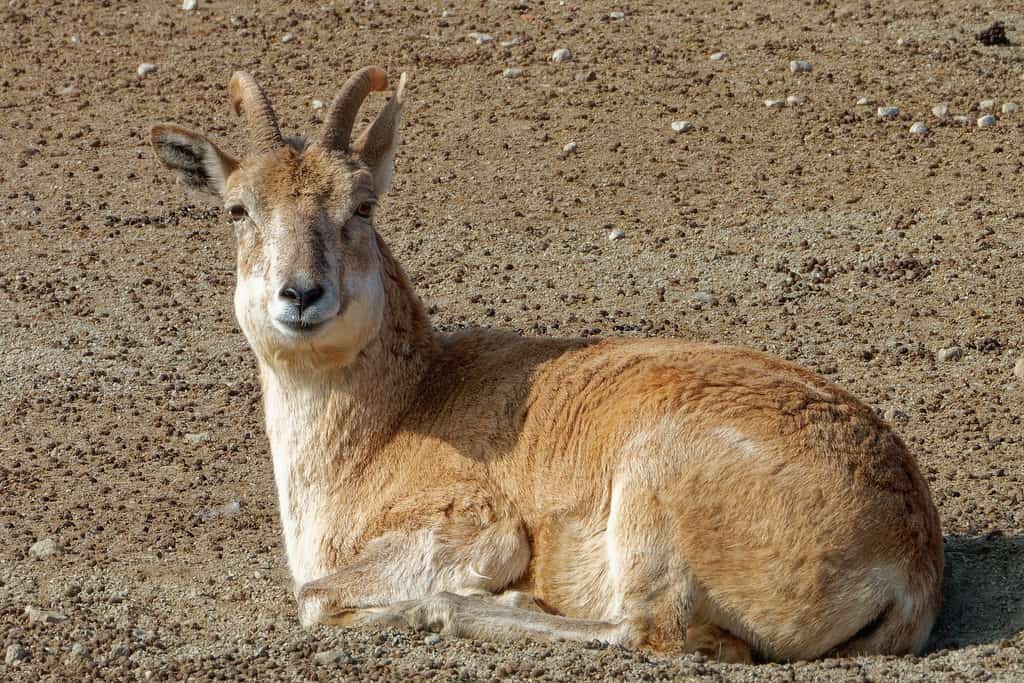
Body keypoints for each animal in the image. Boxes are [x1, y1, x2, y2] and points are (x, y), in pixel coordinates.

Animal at [148, 68, 937, 663]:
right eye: (237, 208)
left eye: (363, 205)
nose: (302, 293)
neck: (394, 422)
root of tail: (908, 559)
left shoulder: (475, 522)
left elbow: (315, 598)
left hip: (650, 496)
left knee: (652, 631)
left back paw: (460, 607)